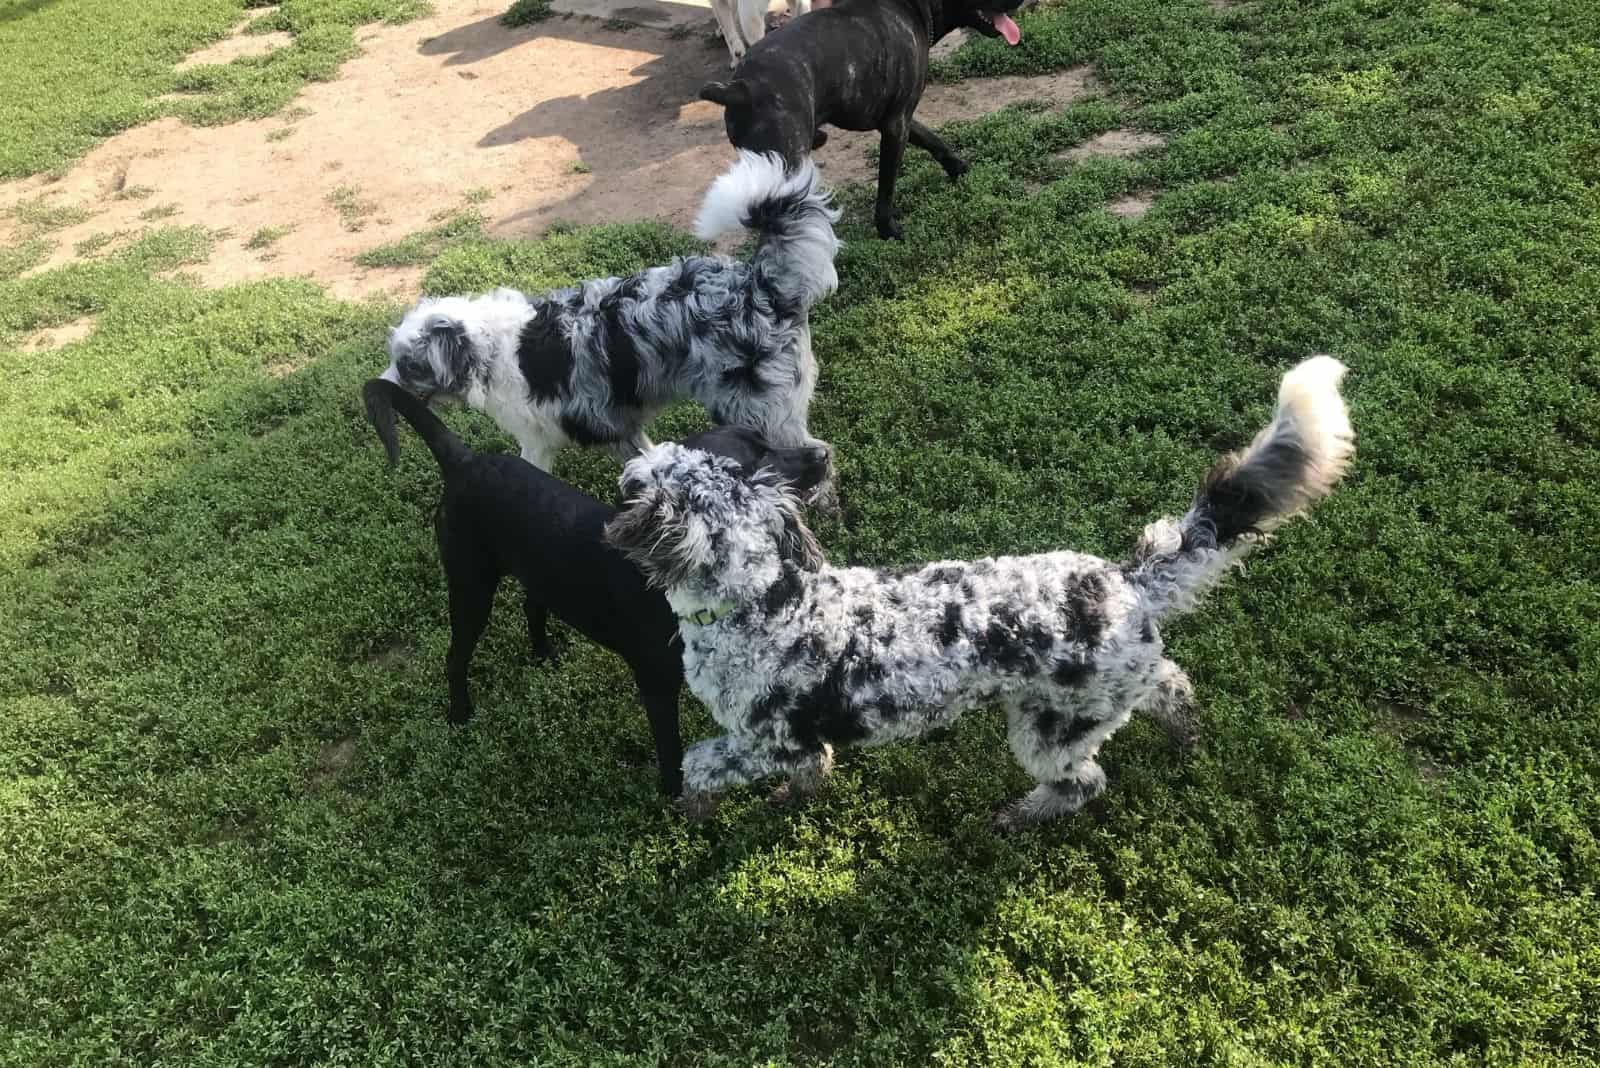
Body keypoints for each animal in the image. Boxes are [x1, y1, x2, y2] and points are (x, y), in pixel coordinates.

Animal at [363, 375, 832, 793]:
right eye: (757, 462)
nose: (823, 454)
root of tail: (464, 460)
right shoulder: (656, 686)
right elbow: (670, 747)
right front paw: (674, 793)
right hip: (470, 586)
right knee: (456, 656)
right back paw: (460, 713)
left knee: (532, 606)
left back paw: (542, 653)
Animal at [379, 151, 844, 492]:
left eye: (407, 365)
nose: (381, 384)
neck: (491, 350)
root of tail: (760, 283)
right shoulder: (618, 427)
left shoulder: (550, 435)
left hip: (756, 411)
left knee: (816, 455)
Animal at [604, 358, 1356, 824]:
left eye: (660, 469)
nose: (631, 458)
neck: (766, 600)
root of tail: (1127, 583)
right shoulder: (794, 744)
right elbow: (811, 767)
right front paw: (801, 794)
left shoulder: (765, 741)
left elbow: (699, 762)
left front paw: (695, 806)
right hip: (1111, 688)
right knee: (1172, 683)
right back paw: (1185, 731)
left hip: (1050, 729)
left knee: (1084, 781)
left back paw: (1024, 815)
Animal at [700, 0, 1024, 238]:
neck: (912, 5)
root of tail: (741, 88)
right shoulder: (895, 126)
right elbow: (886, 185)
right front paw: (888, 230)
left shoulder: (898, 117)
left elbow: (931, 138)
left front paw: (958, 167)